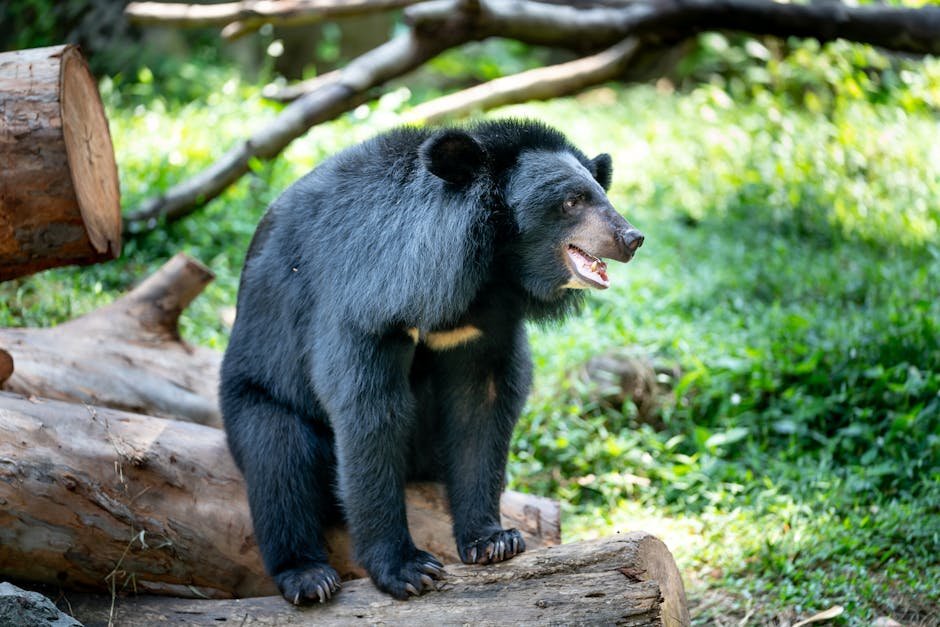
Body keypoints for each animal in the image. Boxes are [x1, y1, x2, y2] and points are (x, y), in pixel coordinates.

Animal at [219, 119, 644, 605]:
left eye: (601, 194)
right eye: (572, 201)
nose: (632, 238)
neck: (485, 269)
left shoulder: (485, 324)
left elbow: (482, 406)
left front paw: (493, 540)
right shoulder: (364, 301)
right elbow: (368, 410)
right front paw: (407, 569)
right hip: (254, 391)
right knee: (277, 457)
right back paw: (308, 576)